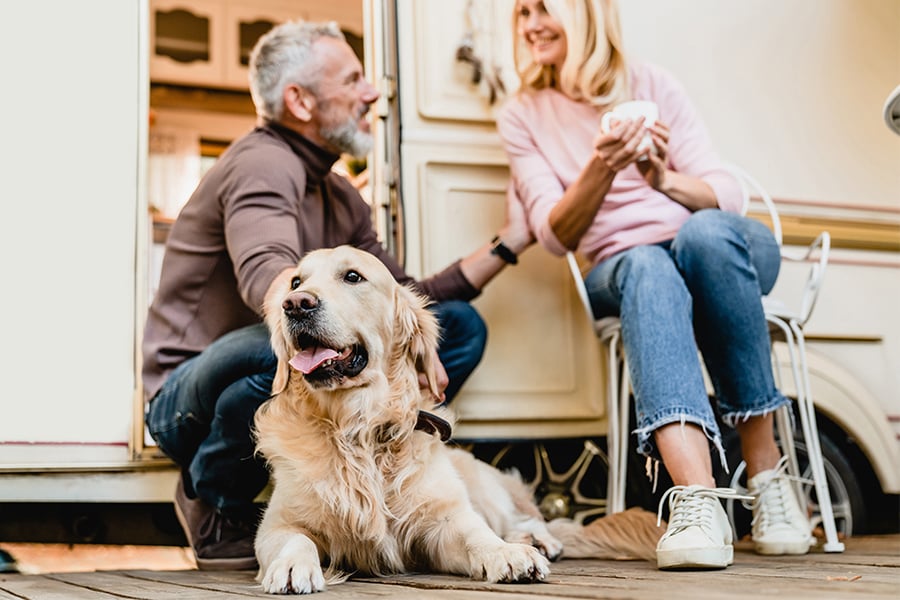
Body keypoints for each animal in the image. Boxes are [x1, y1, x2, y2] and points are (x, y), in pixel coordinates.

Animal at [255, 245, 660, 596]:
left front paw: (506, 554)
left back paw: (538, 541)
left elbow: (476, 535)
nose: (296, 304)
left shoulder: (443, 520)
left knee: (526, 519)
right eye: (295, 282)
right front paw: (291, 565)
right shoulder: (276, 524)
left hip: (485, 489)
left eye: (352, 276)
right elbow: (295, 538)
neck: (360, 430)